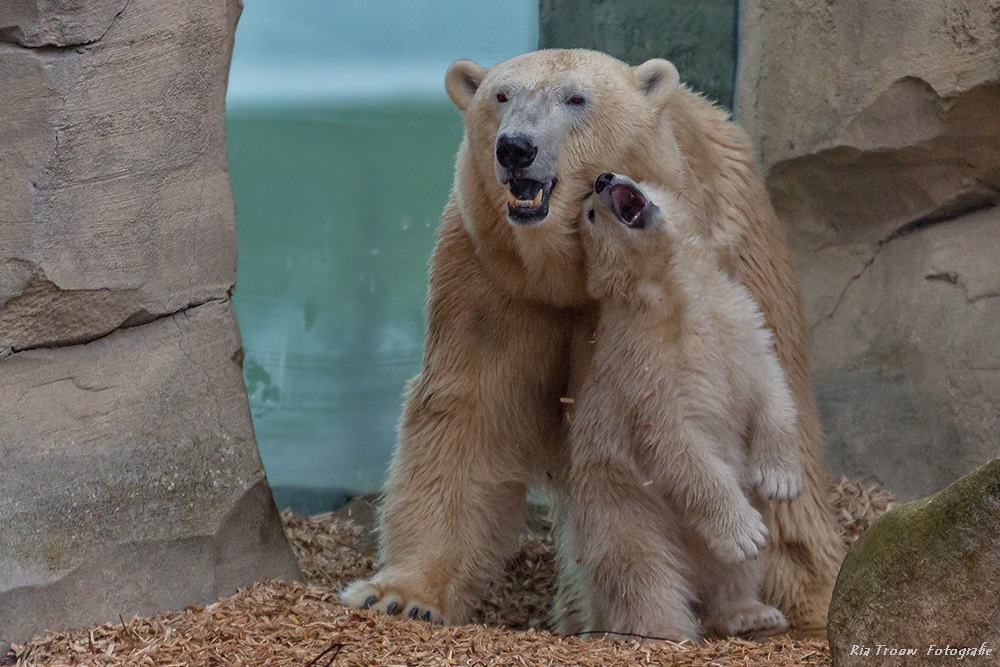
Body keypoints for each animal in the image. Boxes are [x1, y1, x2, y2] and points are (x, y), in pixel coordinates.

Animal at [344, 49, 844, 636]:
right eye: (501, 95)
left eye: (576, 98)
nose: (515, 148)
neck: (570, 271)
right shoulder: (494, 274)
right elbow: (468, 410)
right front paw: (399, 595)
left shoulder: (709, 262)